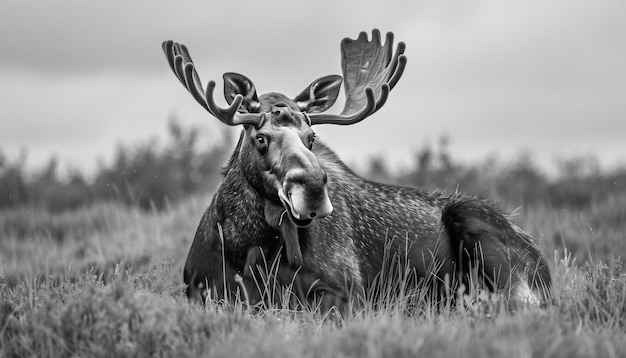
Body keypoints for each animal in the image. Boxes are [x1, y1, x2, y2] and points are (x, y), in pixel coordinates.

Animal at [163, 29, 548, 312]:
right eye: (260, 137)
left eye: (311, 137)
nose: (313, 189)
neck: (247, 247)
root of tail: (543, 263)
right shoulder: (199, 288)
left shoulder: (345, 290)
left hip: (481, 229)